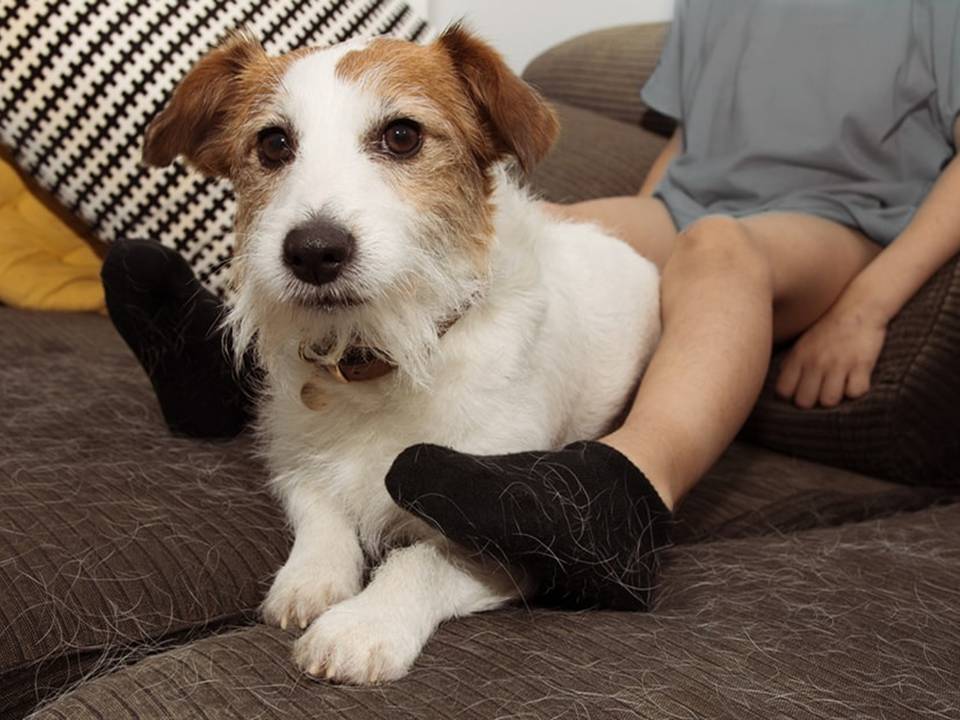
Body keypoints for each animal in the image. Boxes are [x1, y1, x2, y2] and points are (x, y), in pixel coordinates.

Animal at [144, 23, 660, 688]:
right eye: (274, 143)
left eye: (402, 135)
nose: (313, 251)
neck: (380, 352)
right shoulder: (295, 463)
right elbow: (322, 515)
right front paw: (310, 579)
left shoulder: (512, 546)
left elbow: (420, 560)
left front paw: (360, 627)